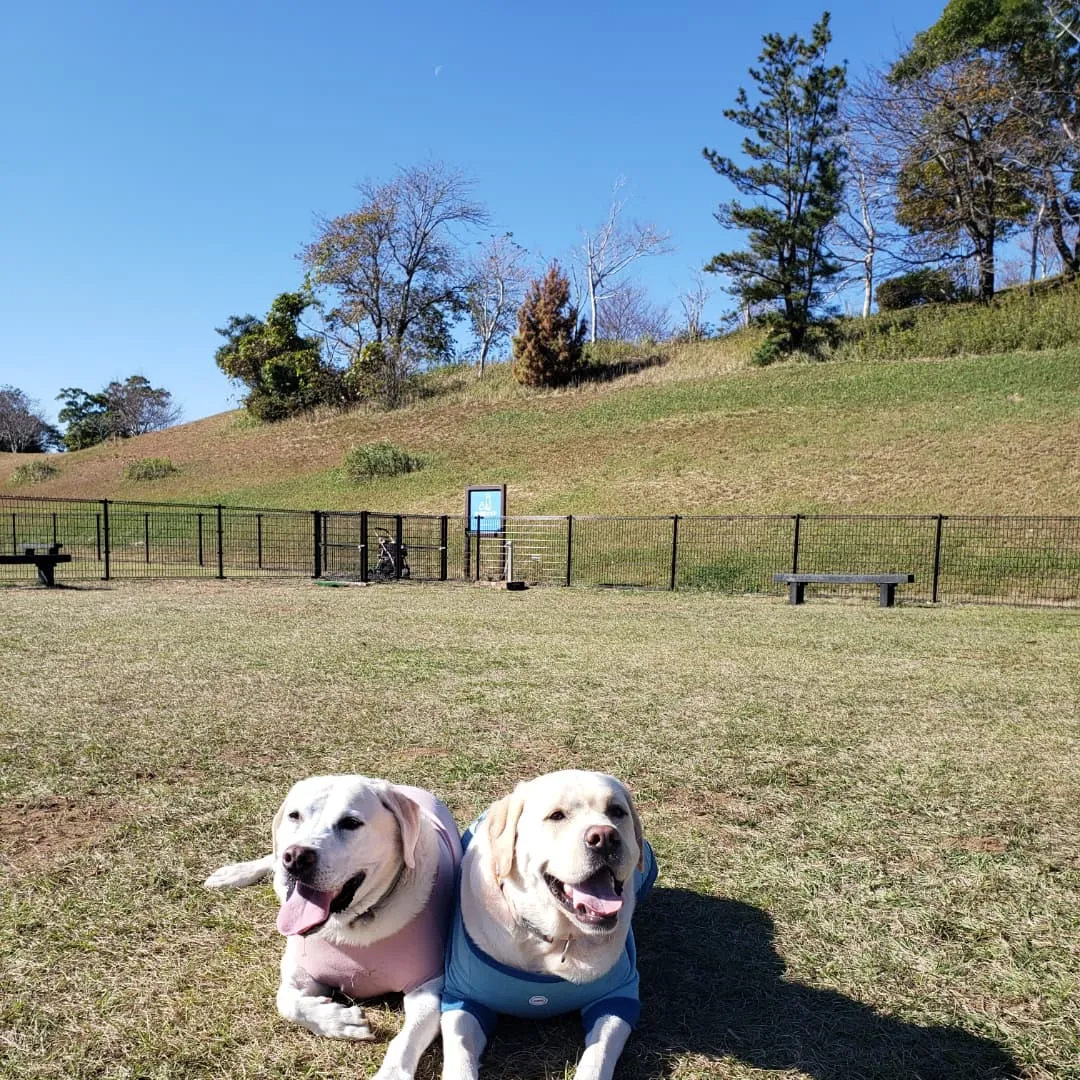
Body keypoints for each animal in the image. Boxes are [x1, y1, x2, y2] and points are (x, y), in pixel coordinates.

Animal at [205, 777, 460, 1080]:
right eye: (294, 815)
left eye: (351, 823)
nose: (296, 857)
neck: (351, 923)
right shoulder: (299, 969)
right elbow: (287, 1002)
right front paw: (340, 1020)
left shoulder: (428, 985)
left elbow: (407, 1037)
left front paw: (391, 1072)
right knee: (272, 859)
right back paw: (234, 873)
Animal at [440, 768, 656, 1080]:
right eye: (556, 816)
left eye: (617, 811)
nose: (605, 837)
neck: (555, 938)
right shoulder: (463, 999)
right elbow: (460, 1052)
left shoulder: (617, 997)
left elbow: (599, 1054)